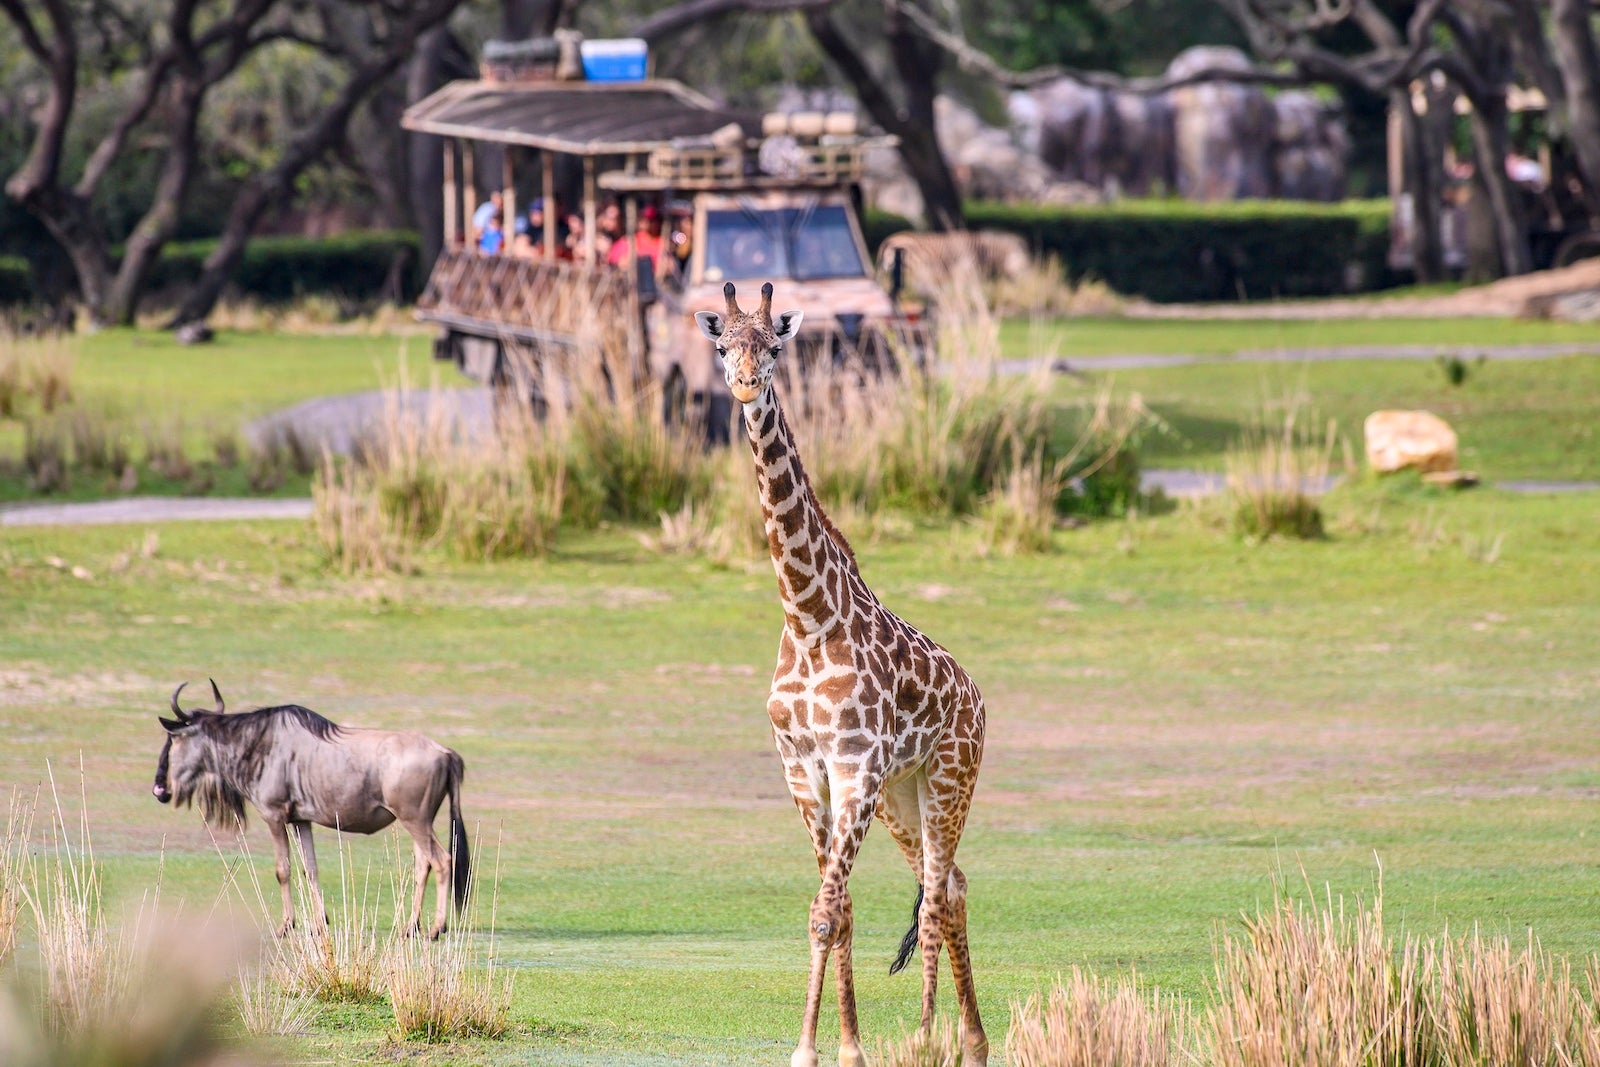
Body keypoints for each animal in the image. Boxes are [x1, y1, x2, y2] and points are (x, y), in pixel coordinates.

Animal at [697, 279, 985, 1062]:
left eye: (773, 344)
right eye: (723, 342)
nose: (745, 385)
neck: (807, 617)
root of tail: (977, 695)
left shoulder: (856, 765)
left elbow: (827, 911)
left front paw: (818, 1046)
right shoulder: (804, 767)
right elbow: (839, 908)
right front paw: (840, 1045)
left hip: (949, 778)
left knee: (940, 893)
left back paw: (946, 1037)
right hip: (903, 796)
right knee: (949, 884)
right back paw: (954, 1037)